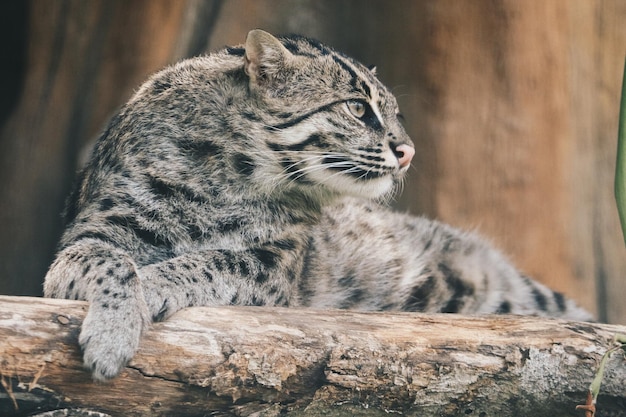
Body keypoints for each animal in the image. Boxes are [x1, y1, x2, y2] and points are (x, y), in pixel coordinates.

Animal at [44, 28, 588, 380]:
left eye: (395, 113)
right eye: (358, 108)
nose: (409, 151)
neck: (226, 177)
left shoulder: (276, 266)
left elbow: (210, 260)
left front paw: (151, 288)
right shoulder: (92, 231)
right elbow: (112, 262)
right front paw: (115, 332)